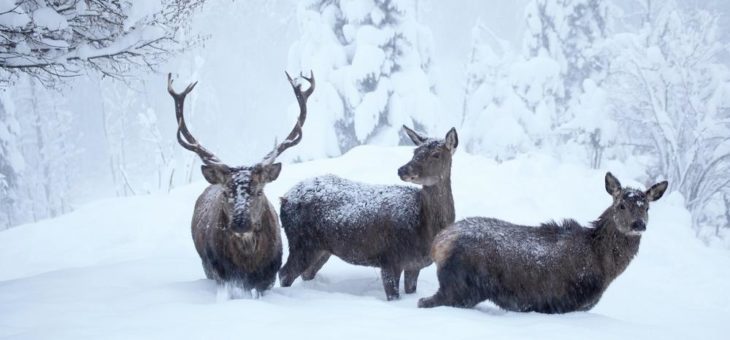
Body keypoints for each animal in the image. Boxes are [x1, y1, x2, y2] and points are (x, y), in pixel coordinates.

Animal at [166, 71, 314, 294]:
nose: (240, 223)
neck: (248, 264)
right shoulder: (222, 275)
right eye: (227, 192)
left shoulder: (268, 276)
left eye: (259, 191)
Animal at [276, 127, 458, 300]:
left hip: (321, 249)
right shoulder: (389, 258)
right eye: (415, 151)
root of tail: (284, 199)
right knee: (284, 273)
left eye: (436, 154)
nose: (402, 170)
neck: (423, 228)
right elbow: (393, 296)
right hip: (302, 241)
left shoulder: (414, 265)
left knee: (305, 274)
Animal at [418, 173, 668, 314]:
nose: (638, 224)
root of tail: (439, 242)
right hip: (461, 286)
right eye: (621, 205)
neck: (604, 270)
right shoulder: (561, 304)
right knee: (425, 301)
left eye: (646, 207)